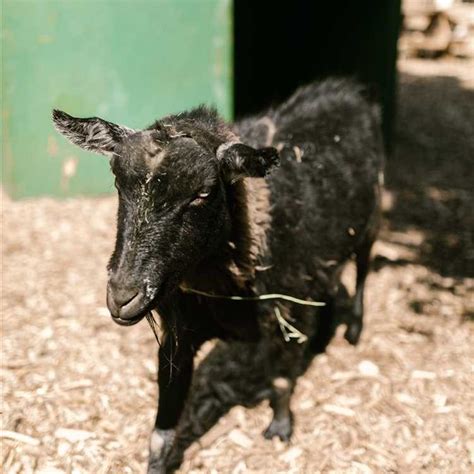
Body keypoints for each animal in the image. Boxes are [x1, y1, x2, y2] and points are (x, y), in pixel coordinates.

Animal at [53, 79, 384, 472]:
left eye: (203, 192)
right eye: (119, 184)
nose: (122, 296)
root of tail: (348, 90)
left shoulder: (285, 309)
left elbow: (282, 379)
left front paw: (280, 429)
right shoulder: (178, 337)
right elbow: (162, 429)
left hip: (371, 220)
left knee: (361, 272)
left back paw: (353, 329)